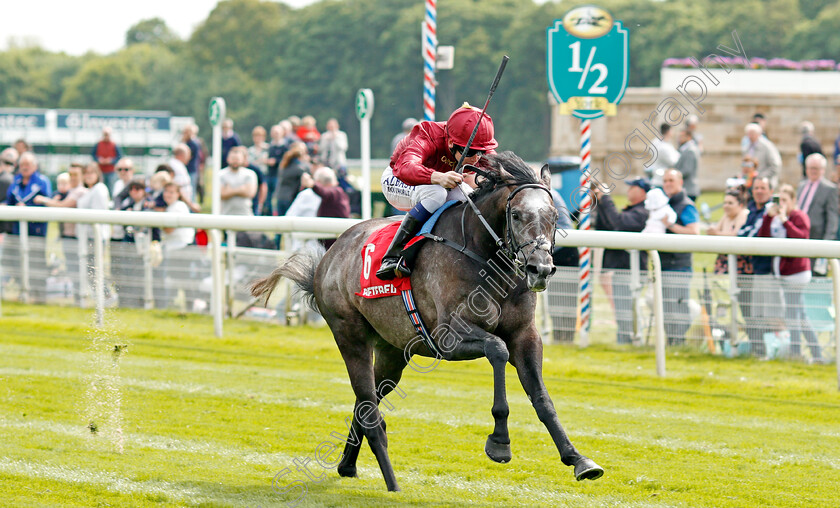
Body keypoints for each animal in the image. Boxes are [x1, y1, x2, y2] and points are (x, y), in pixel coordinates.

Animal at [251, 152, 604, 492]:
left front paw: (578, 460)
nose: (540, 269)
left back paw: (347, 465)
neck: (484, 256)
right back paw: (385, 479)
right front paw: (500, 442)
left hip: (392, 352)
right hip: (349, 334)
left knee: (367, 402)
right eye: (516, 215)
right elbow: (497, 349)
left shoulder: (525, 335)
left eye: (554, 216)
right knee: (367, 401)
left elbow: (541, 397)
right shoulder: (449, 336)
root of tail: (331, 252)